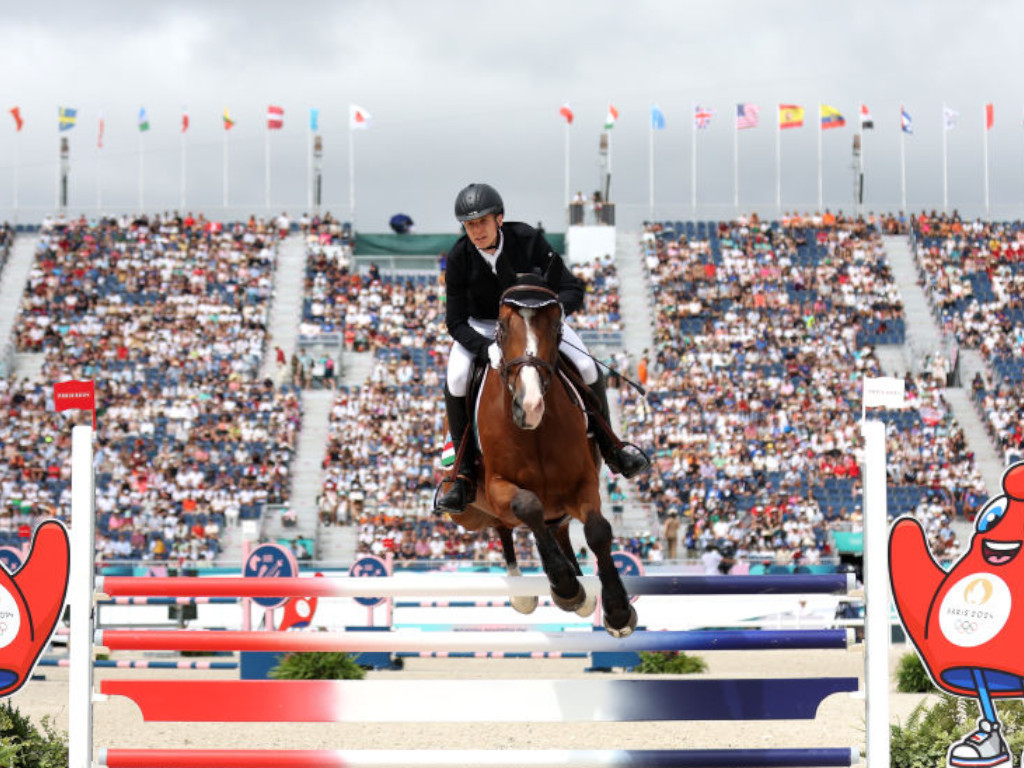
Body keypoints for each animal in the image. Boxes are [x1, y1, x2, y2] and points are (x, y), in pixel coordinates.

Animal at [450, 268, 634, 638]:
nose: (530, 405)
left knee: (556, 528)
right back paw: (532, 590)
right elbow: (528, 505)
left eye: (556, 326)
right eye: (502, 327)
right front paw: (565, 587)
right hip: (471, 512)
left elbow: (597, 531)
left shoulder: (583, 484)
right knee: (507, 526)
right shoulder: (498, 485)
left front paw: (618, 611)